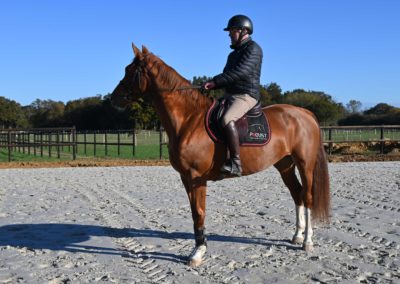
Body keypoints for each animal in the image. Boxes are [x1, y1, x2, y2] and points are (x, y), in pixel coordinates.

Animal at [111, 43, 330, 266]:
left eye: (130, 71)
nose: (113, 99)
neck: (189, 119)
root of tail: (305, 113)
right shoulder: (185, 178)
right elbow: (194, 213)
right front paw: (198, 248)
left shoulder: (196, 177)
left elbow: (199, 212)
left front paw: (198, 252)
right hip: (285, 165)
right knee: (297, 194)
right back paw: (297, 235)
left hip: (305, 164)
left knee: (308, 196)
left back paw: (307, 241)